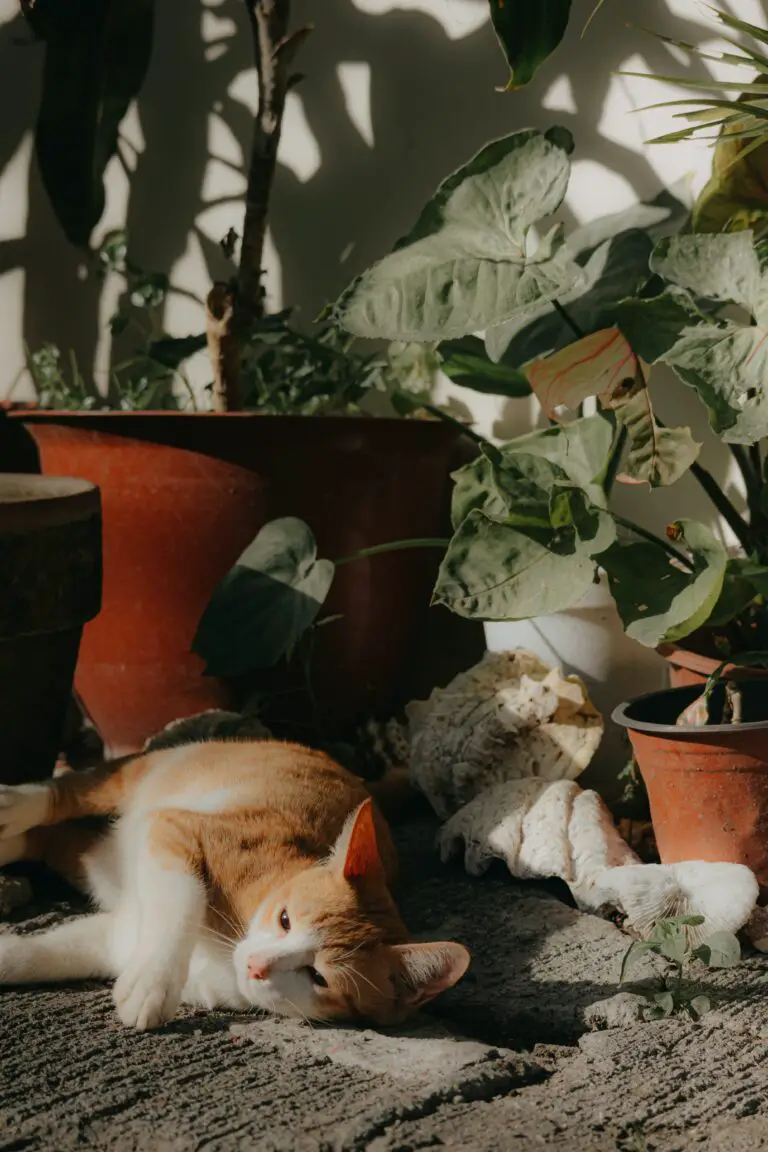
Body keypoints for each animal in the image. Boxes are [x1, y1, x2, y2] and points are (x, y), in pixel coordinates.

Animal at [0, 741, 472, 1032]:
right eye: (285, 919)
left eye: (318, 977)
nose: (257, 966)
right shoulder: (179, 829)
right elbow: (182, 900)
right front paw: (155, 979)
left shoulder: (120, 934)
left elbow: (52, 952)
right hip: (147, 775)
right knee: (73, 791)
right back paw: (17, 806)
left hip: (96, 864)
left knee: (60, 843)